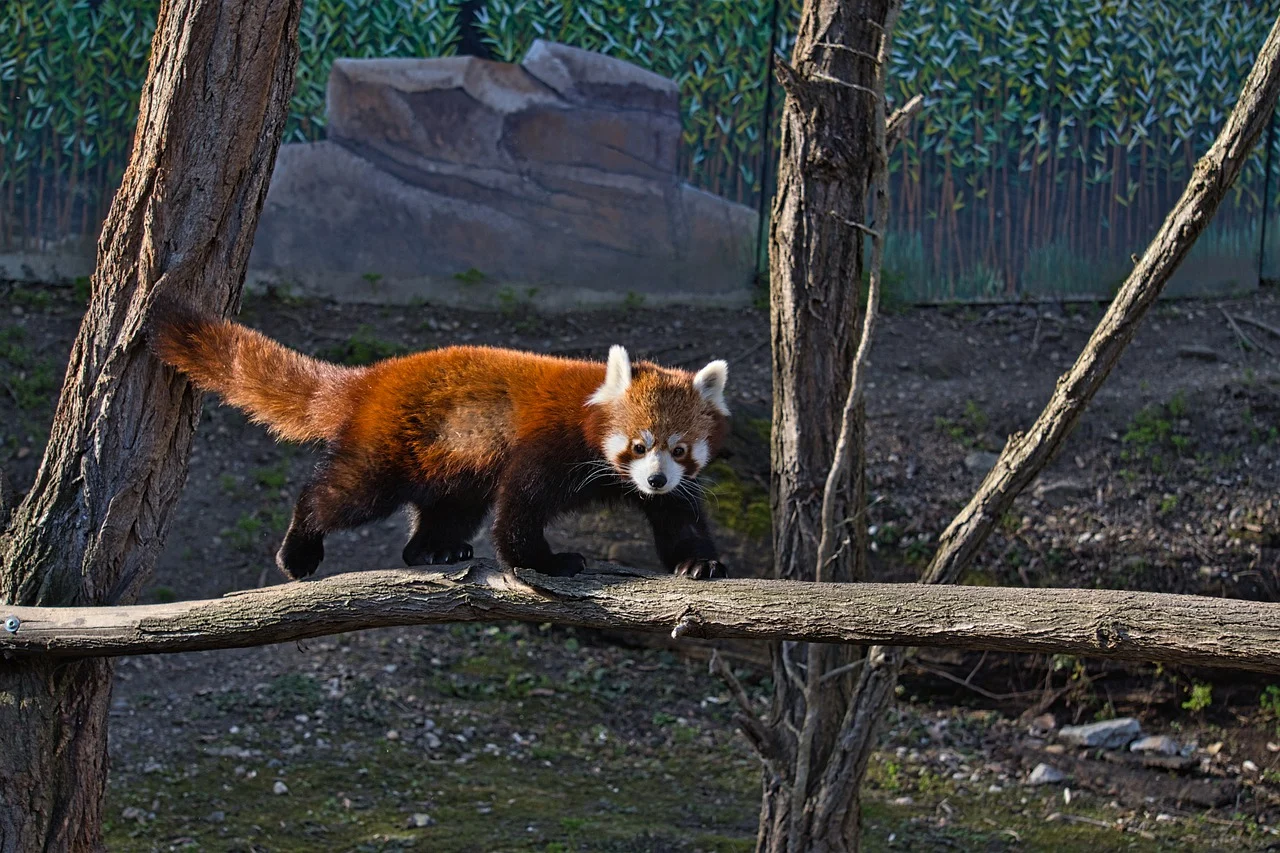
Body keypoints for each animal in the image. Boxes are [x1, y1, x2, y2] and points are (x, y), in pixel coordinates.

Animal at [149, 306, 732, 578]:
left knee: (449, 509)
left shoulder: (670, 490)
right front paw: (544, 562)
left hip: (452, 462)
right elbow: (519, 507)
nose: (655, 478)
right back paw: (301, 547)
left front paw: (699, 564)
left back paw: (433, 548)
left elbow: (679, 519)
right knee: (341, 495)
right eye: (639, 444)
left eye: (679, 450)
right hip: (388, 447)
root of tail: (372, 378)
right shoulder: (550, 444)